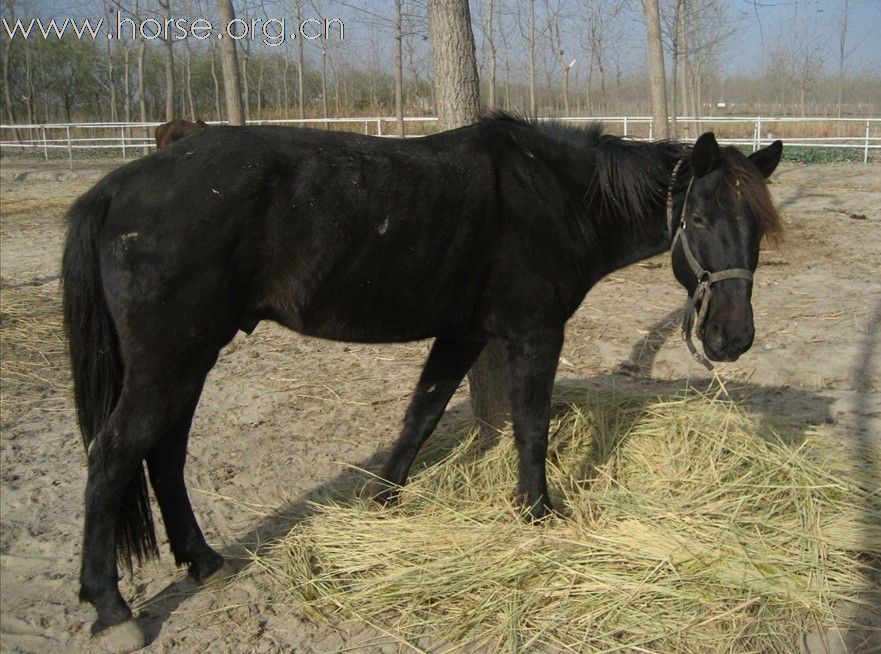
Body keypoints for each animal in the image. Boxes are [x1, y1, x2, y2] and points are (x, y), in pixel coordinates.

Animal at [60, 116, 784, 652]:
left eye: (756, 227)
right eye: (697, 221)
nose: (732, 338)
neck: (551, 194)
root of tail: (117, 187)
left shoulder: (461, 334)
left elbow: (421, 415)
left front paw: (380, 507)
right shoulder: (533, 333)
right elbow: (530, 425)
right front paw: (536, 512)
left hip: (189, 358)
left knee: (164, 455)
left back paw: (202, 560)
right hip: (171, 359)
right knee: (114, 456)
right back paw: (112, 607)